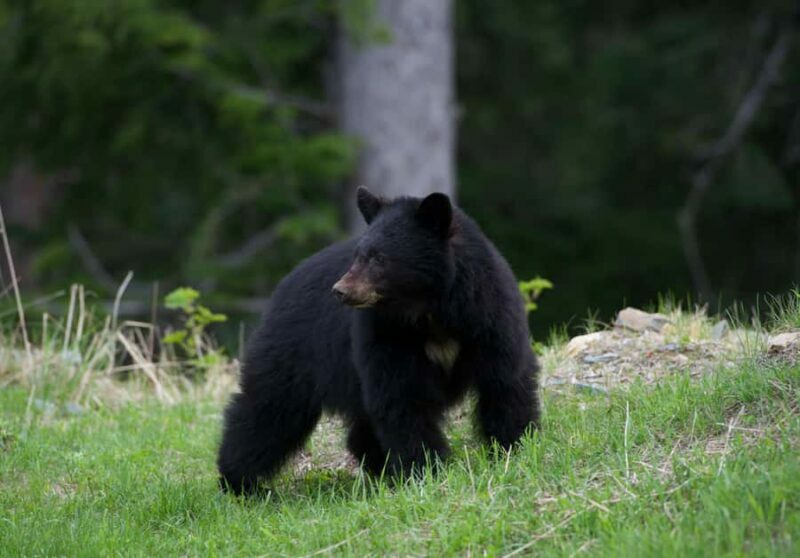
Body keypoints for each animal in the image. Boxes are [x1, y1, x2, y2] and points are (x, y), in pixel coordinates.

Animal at [217, 187, 540, 495]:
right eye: (358, 255)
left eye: (380, 258)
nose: (340, 290)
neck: (429, 311)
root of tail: (283, 285)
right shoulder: (385, 333)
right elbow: (402, 397)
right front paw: (426, 468)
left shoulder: (487, 317)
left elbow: (504, 381)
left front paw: (514, 446)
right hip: (296, 353)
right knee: (267, 411)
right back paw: (241, 482)